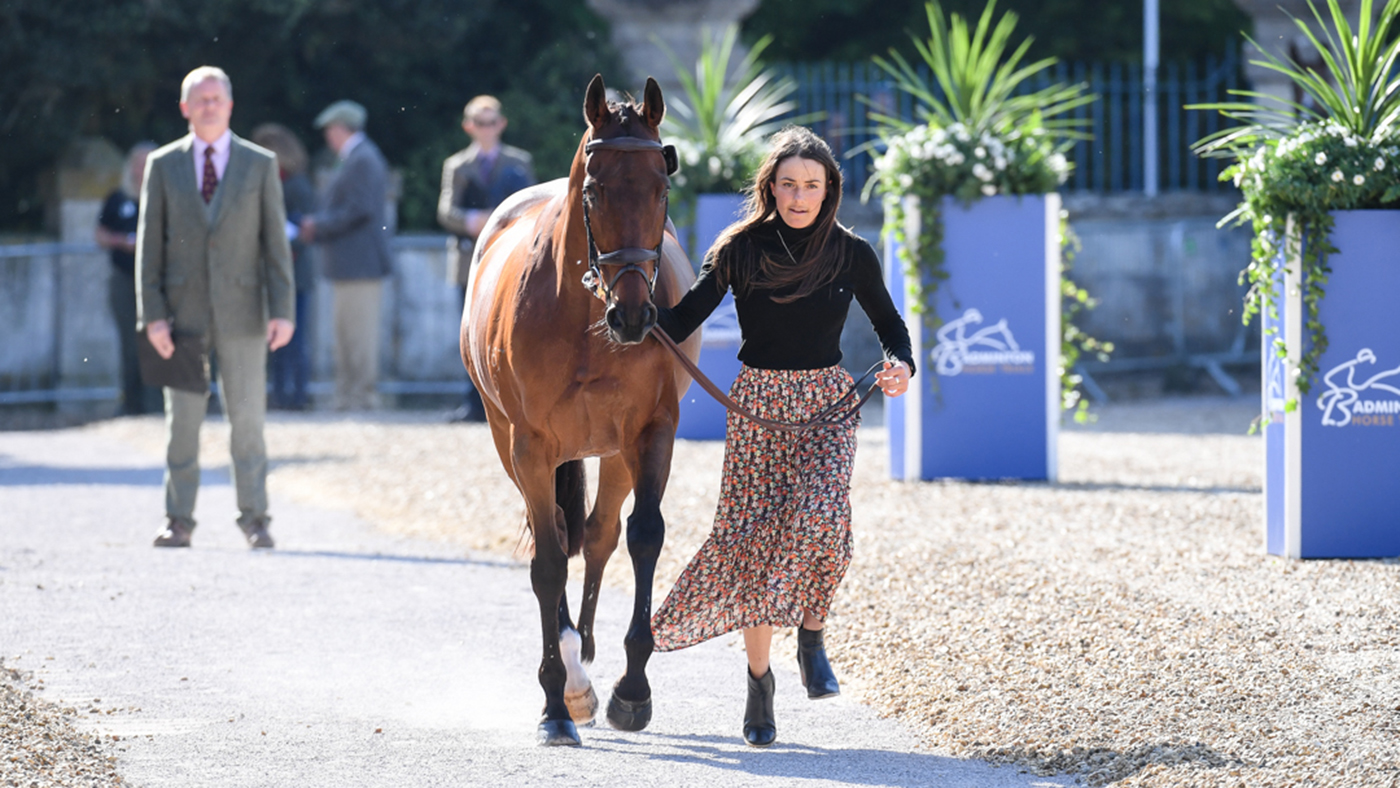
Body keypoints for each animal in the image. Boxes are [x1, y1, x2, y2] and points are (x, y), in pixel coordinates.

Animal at [460, 74, 701, 747]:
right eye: (594, 191)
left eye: (662, 187)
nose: (634, 316)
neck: (586, 318)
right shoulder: (531, 444)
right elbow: (546, 563)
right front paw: (556, 703)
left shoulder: (652, 432)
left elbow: (644, 537)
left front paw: (632, 691)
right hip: (509, 443)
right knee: (561, 536)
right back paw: (571, 676)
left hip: (615, 451)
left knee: (597, 535)